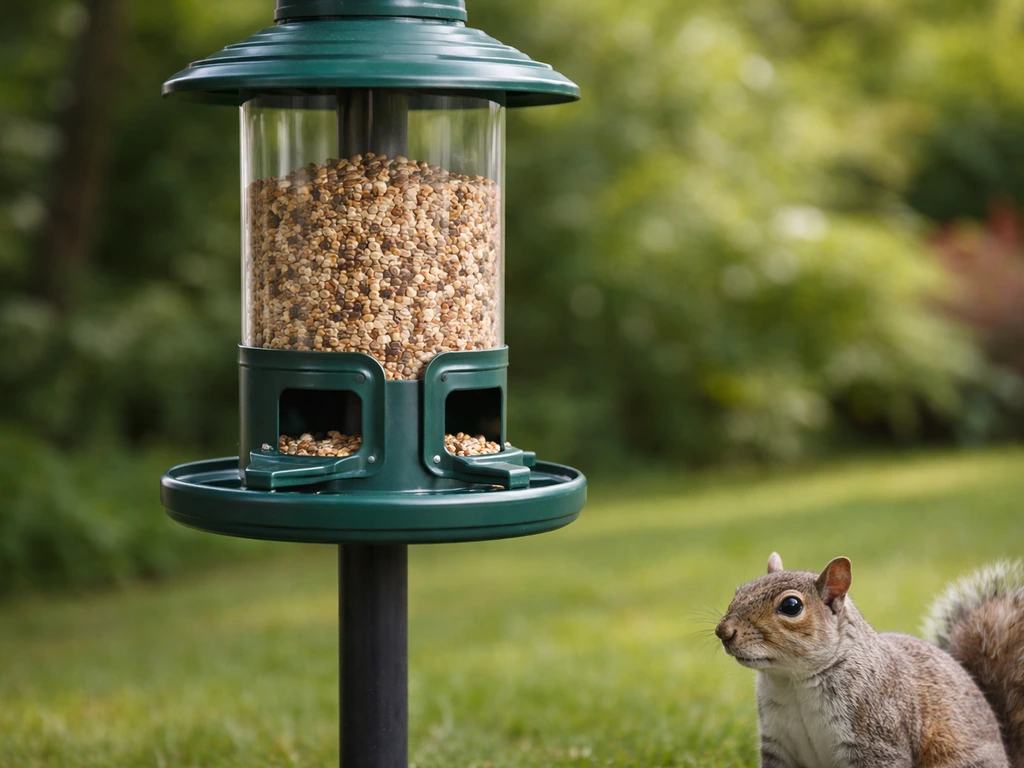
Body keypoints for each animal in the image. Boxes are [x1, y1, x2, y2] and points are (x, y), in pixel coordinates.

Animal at [715, 553, 1024, 768]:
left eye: (791, 606)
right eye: (739, 591)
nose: (723, 632)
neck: (794, 683)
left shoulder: (877, 735)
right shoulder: (778, 743)